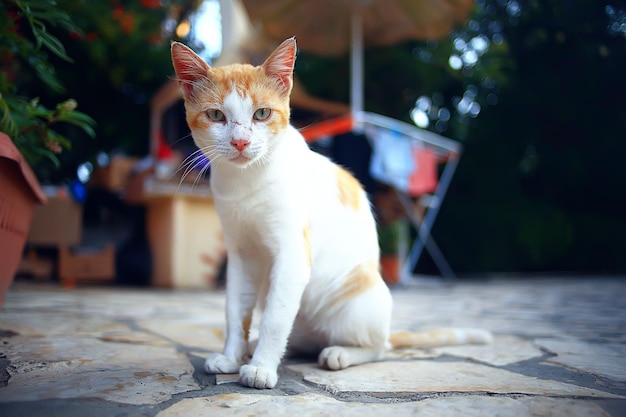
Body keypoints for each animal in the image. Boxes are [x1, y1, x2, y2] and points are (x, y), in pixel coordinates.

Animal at [169, 37, 488, 388]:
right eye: (215, 115)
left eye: (262, 113)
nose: (240, 142)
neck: (246, 181)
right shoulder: (242, 254)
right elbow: (235, 311)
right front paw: (231, 356)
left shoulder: (293, 255)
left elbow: (274, 318)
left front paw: (262, 368)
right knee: (297, 340)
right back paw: (257, 349)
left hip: (359, 304)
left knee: (378, 347)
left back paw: (339, 353)